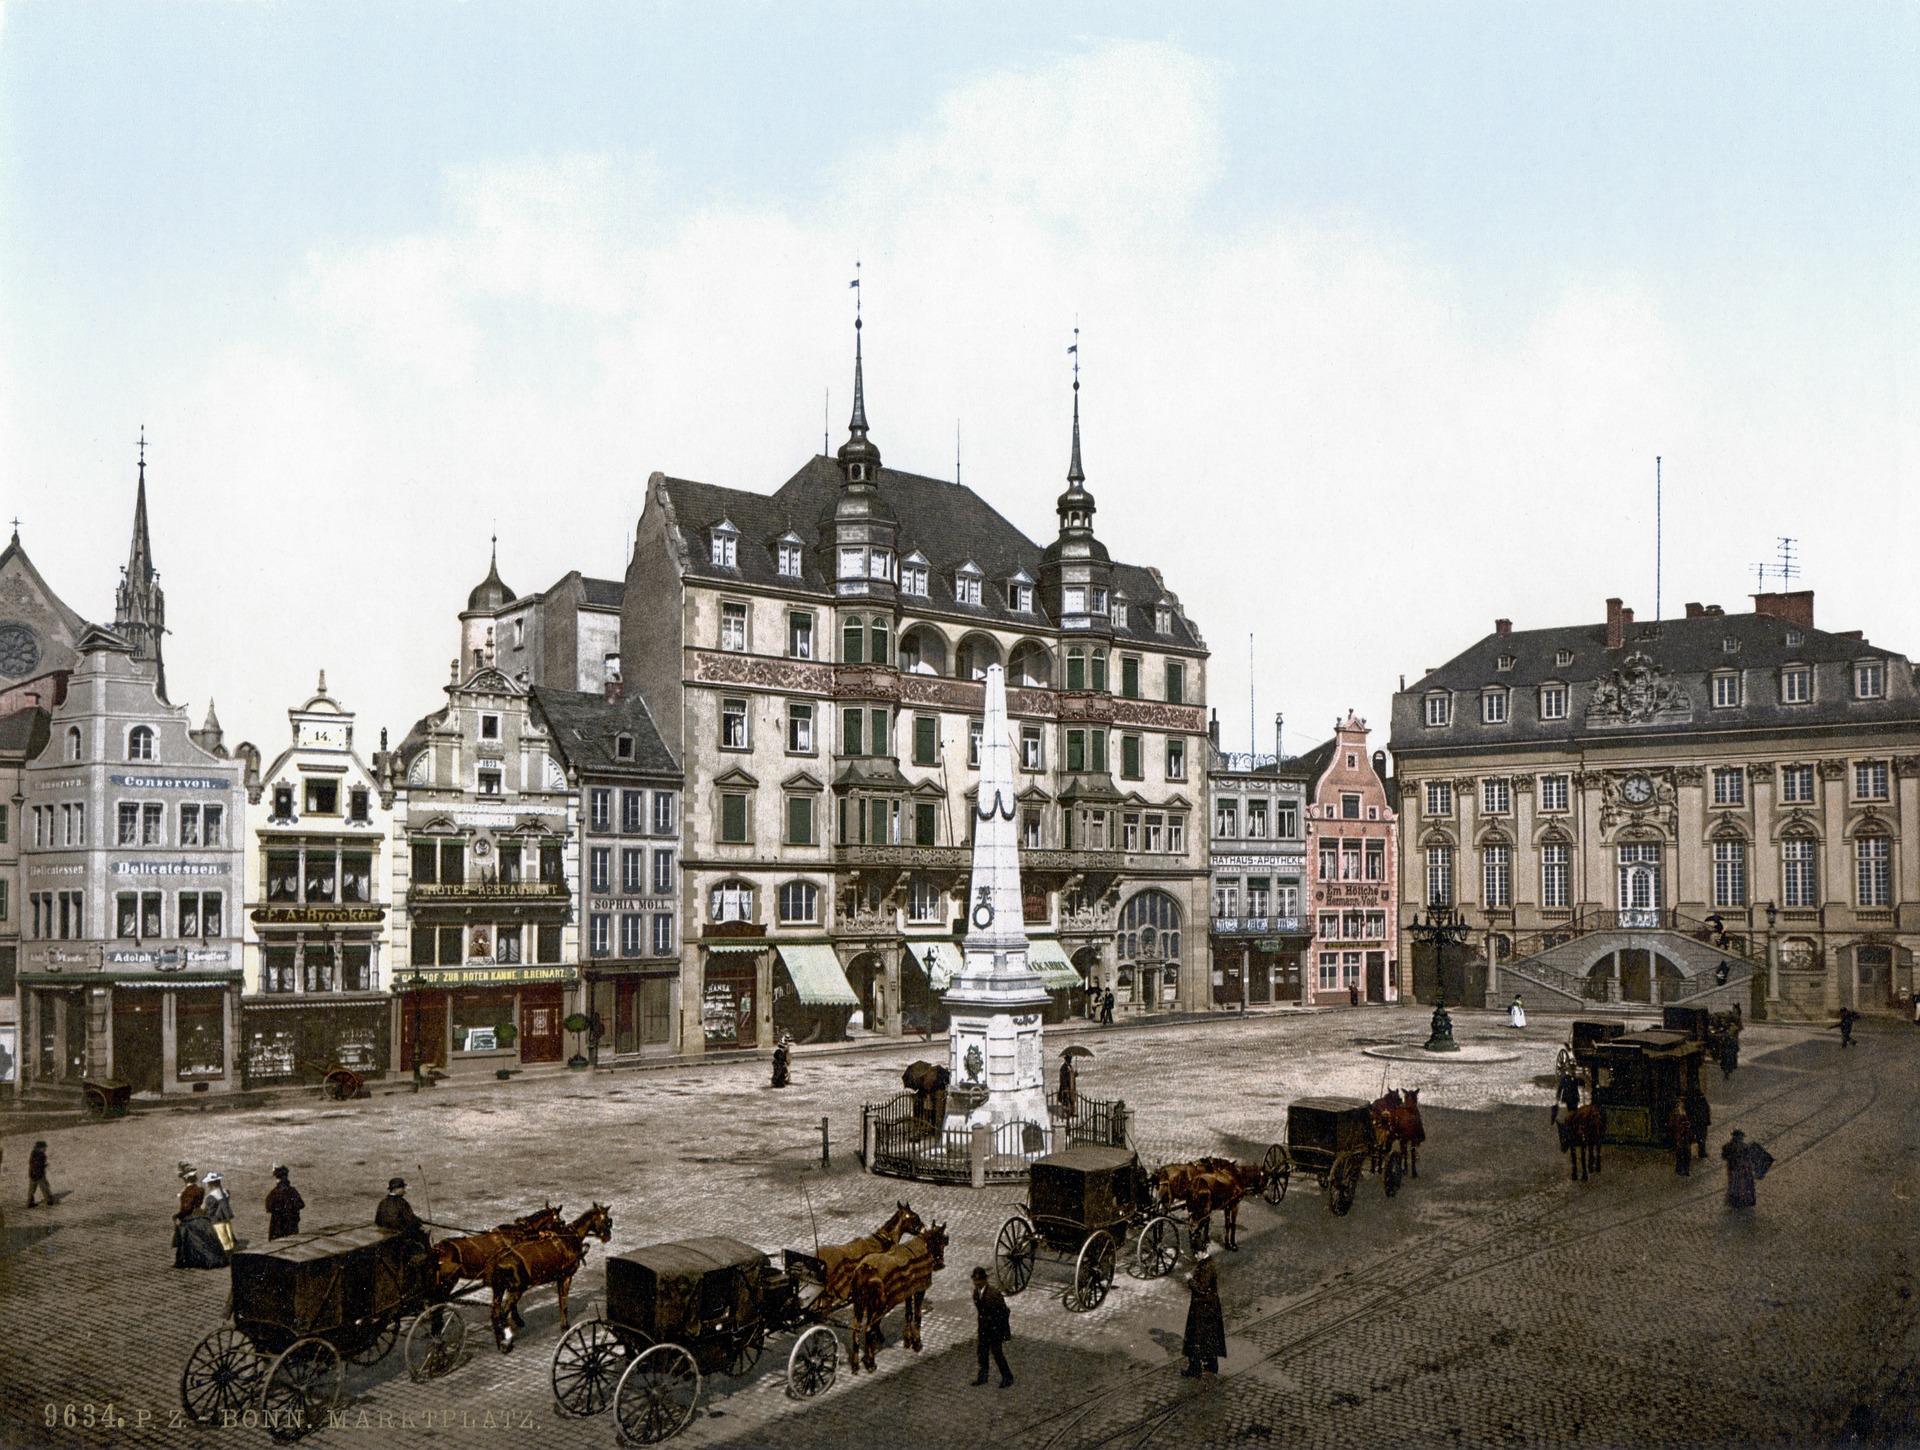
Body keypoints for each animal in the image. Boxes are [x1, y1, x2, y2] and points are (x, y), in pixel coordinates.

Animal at [491, 1206, 610, 1352]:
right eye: (606, 1220)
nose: (608, 1236)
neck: (570, 1237)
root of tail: (500, 1260)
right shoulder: (566, 1277)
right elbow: (563, 1303)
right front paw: (565, 1327)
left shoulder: (559, 1279)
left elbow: (560, 1301)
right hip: (516, 1289)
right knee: (502, 1315)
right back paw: (505, 1341)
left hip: (500, 1289)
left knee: (495, 1315)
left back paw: (500, 1340)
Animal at [848, 1221, 952, 1375]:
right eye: (941, 1240)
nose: (940, 1264)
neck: (922, 1248)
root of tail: (864, 1270)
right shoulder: (920, 1290)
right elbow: (917, 1316)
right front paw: (917, 1343)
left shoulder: (908, 1292)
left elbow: (908, 1314)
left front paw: (908, 1341)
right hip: (879, 1306)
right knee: (868, 1330)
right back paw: (870, 1362)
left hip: (860, 1304)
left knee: (856, 1331)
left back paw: (855, 1365)